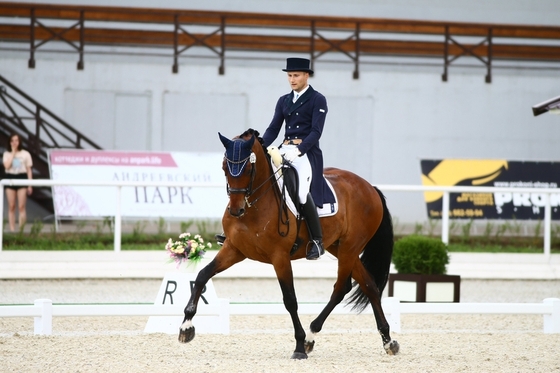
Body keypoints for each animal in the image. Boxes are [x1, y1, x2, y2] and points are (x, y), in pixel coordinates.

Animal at [177, 129, 400, 358]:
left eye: (248, 168)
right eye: (224, 167)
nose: (235, 210)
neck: (255, 205)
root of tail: (369, 187)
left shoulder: (280, 257)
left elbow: (290, 300)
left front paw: (299, 346)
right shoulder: (234, 249)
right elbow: (202, 275)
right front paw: (186, 326)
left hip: (350, 247)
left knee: (341, 288)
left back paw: (311, 335)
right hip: (339, 247)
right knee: (368, 285)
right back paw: (388, 340)